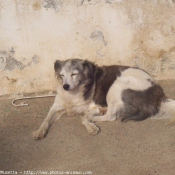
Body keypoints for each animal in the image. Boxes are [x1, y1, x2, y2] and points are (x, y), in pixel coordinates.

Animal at [32, 58, 175, 140]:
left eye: (74, 74)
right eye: (62, 75)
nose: (65, 86)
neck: (74, 93)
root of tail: (158, 94)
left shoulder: (94, 105)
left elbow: (84, 117)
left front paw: (91, 126)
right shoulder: (56, 106)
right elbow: (46, 119)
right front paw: (39, 131)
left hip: (116, 86)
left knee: (110, 116)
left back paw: (96, 116)